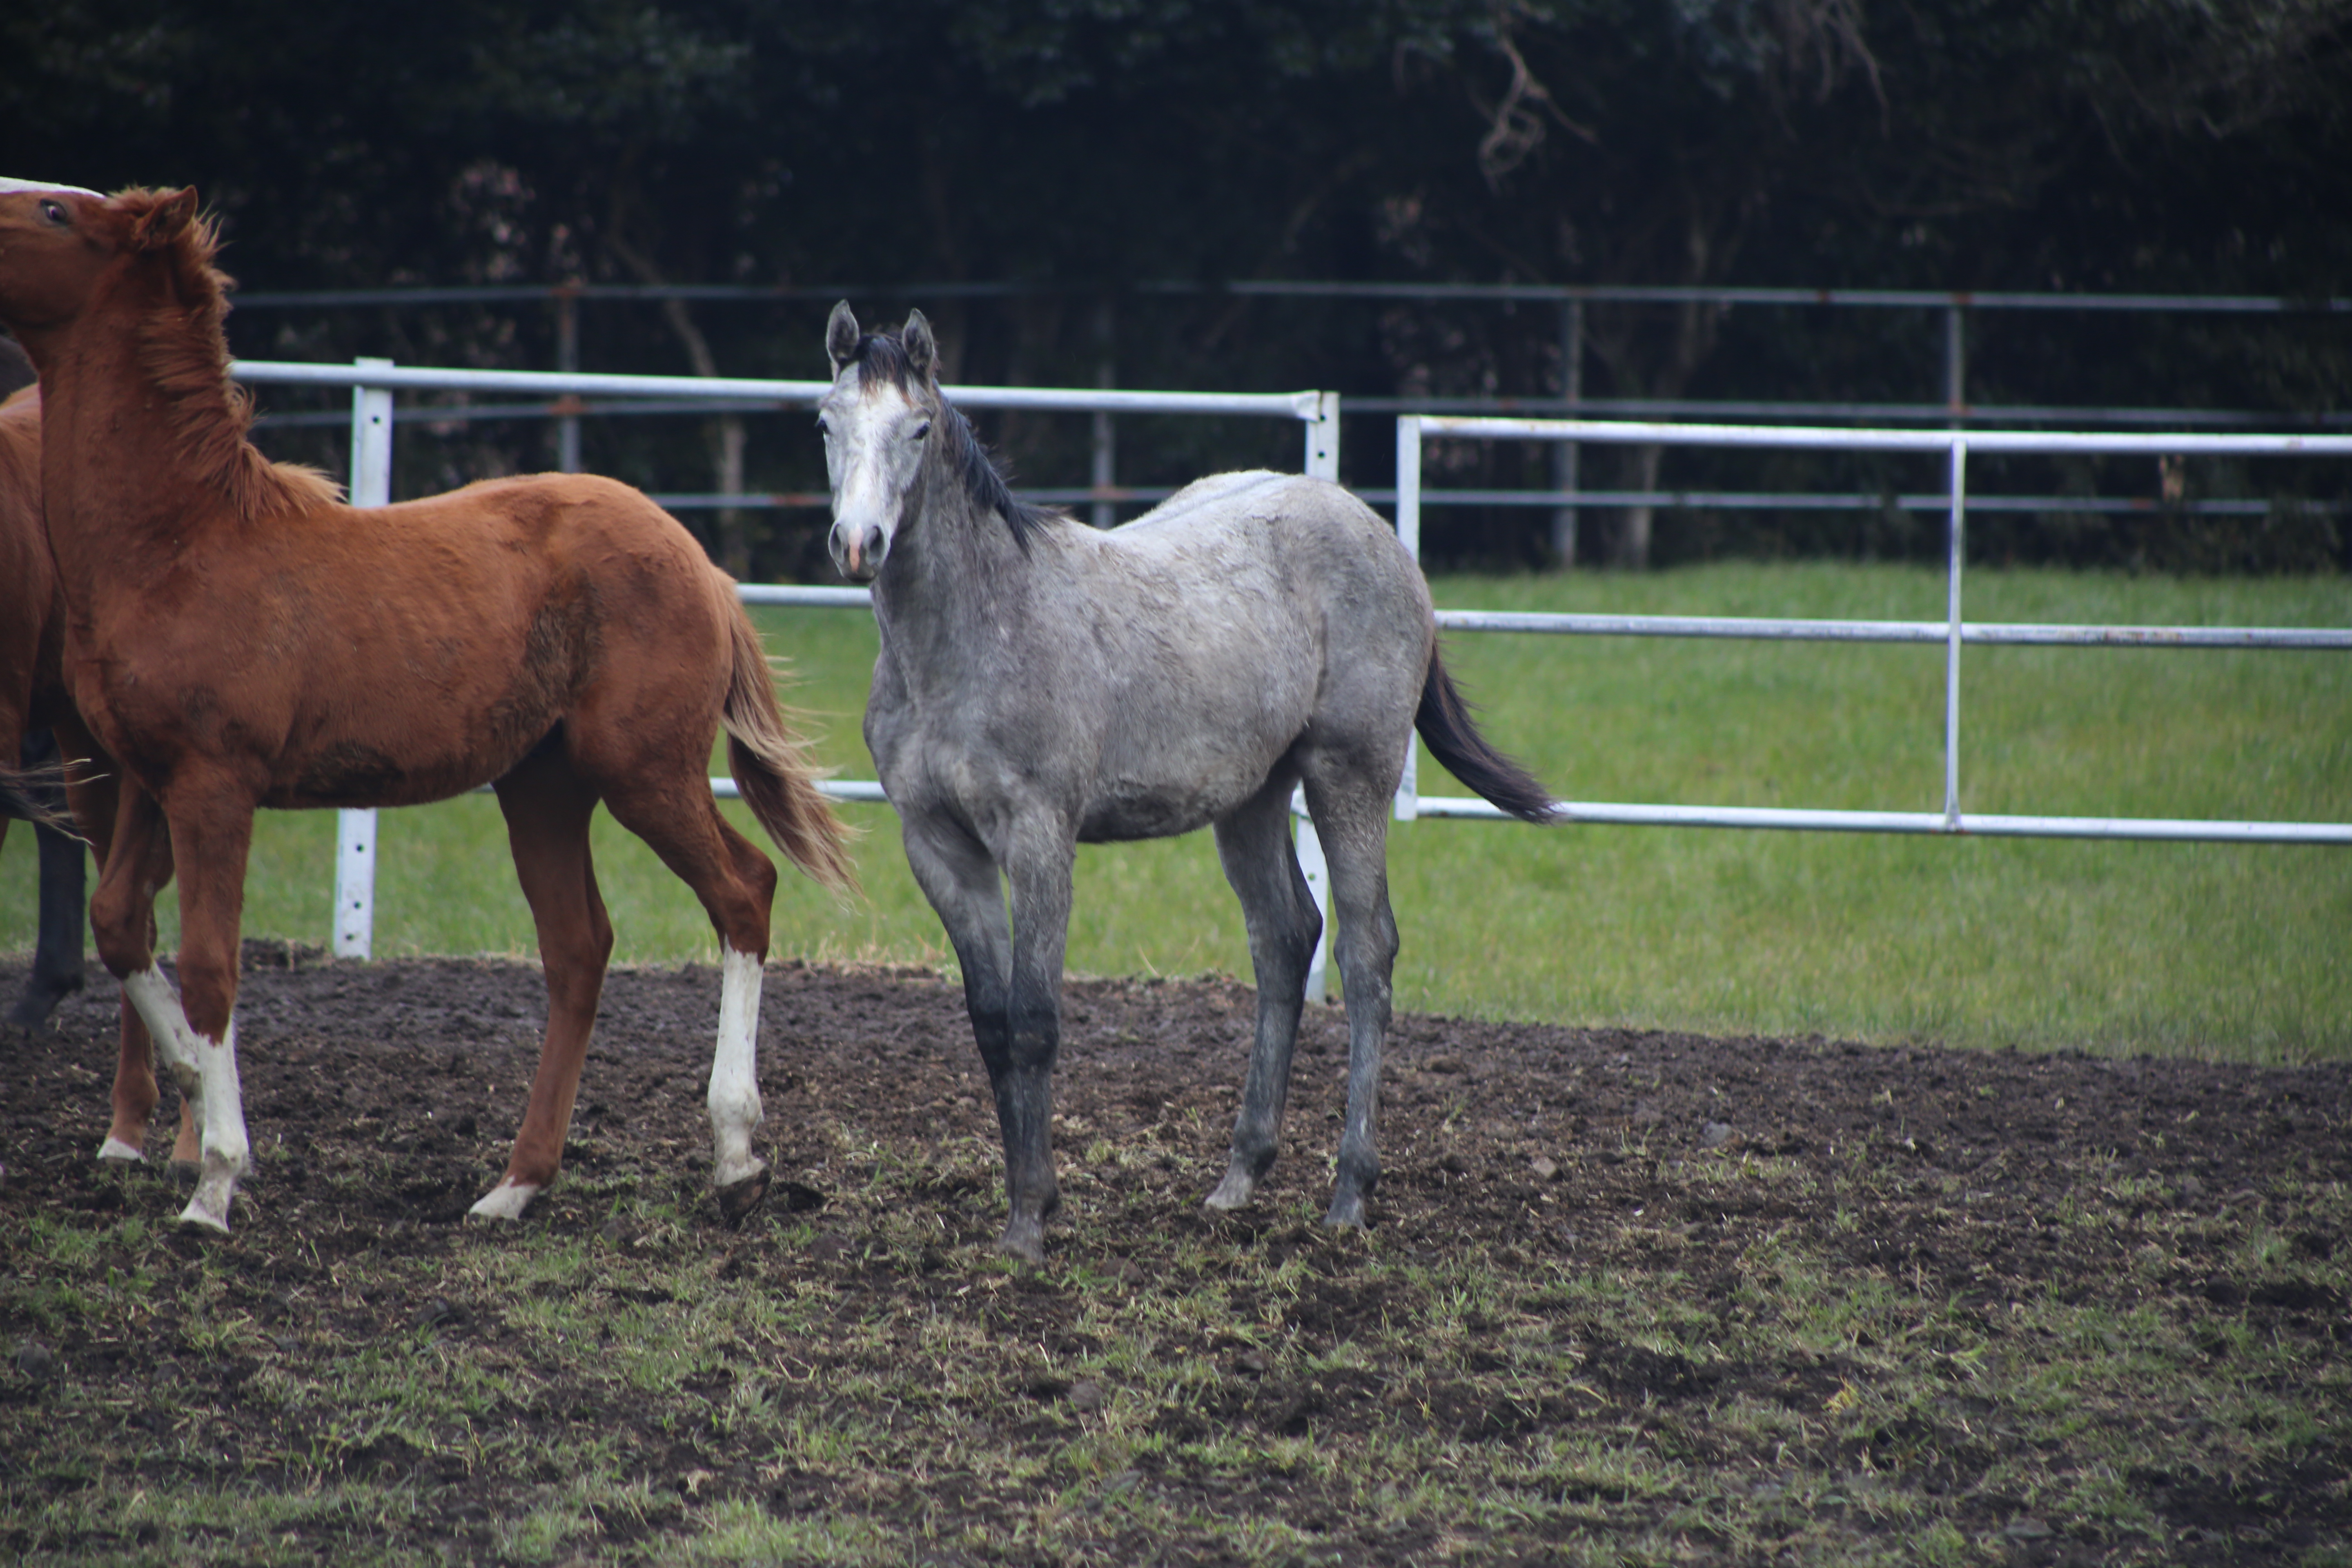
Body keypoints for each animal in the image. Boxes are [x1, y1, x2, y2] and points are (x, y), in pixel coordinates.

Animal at [0, 184, 856, 1232]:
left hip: (643, 773)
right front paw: (188, 1110)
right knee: (580, 949)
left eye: (53, 212)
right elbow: (122, 923)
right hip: (543, 787)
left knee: (742, 891)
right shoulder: (143, 777)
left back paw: (736, 1155)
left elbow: (211, 965)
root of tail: (700, 560)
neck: (178, 542)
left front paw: (215, 1182)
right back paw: (515, 1186)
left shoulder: (213, 787)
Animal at [828, 303, 1561, 1260]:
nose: (857, 544)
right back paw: (1239, 1177)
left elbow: (1034, 1023)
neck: (971, 633)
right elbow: (990, 1025)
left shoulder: (1039, 836)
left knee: (1366, 955)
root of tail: (1380, 536)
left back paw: (1350, 1193)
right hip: (1250, 800)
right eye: (826, 423)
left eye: (917, 429)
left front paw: (1030, 1221)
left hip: (1348, 778)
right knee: (1286, 941)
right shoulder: (938, 845)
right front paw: (1027, 1204)